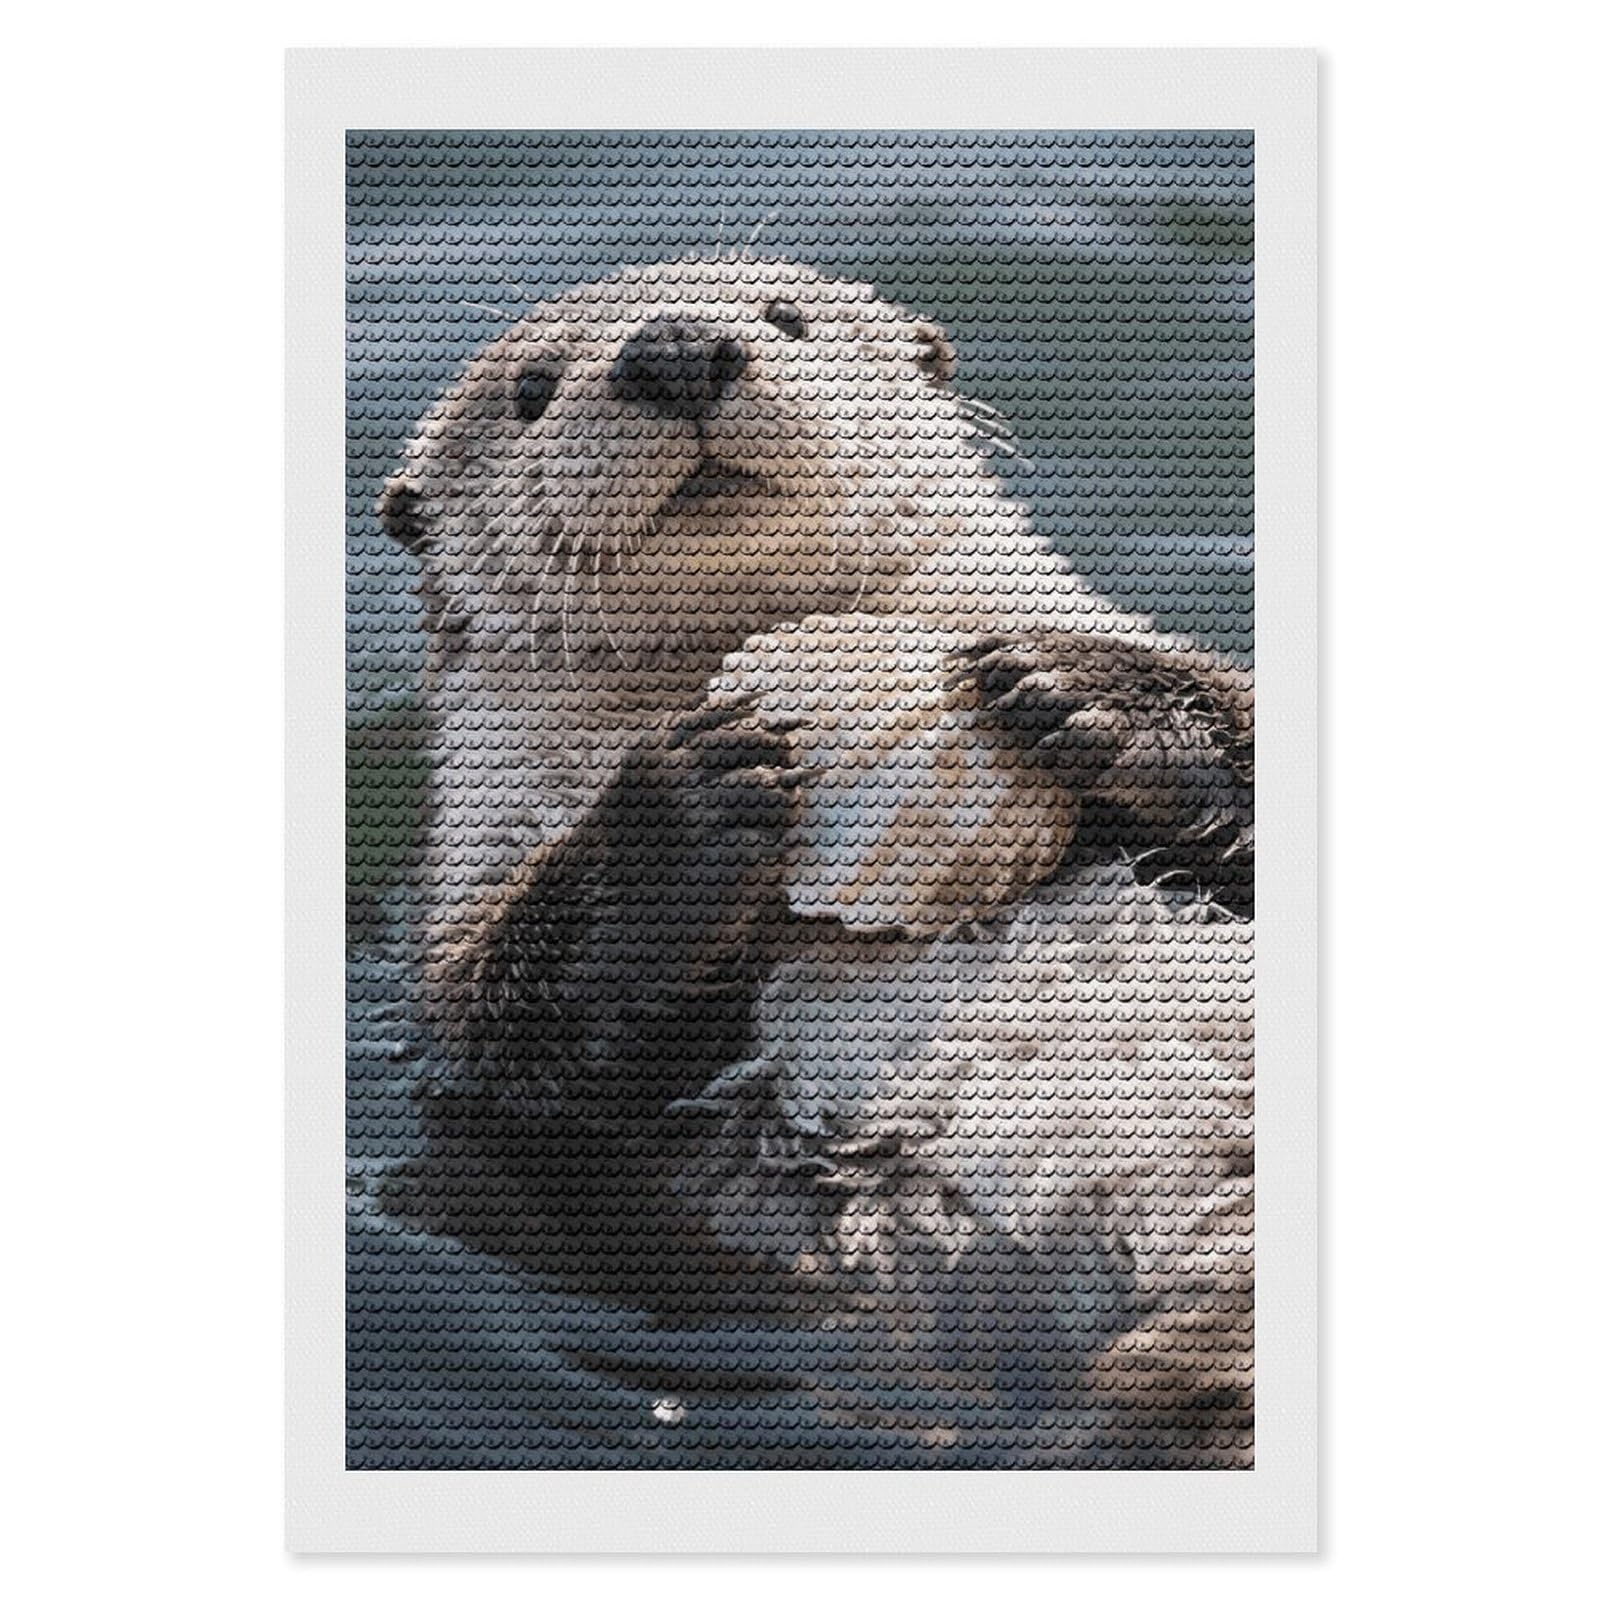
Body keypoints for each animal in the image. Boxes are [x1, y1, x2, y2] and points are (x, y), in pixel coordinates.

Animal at [376, 257, 1253, 1465]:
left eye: (786, 318)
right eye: (531, 390)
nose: (675, 349)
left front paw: (1090, 694)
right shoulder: (470, 886)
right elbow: (515, 1049)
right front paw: (682, 810)